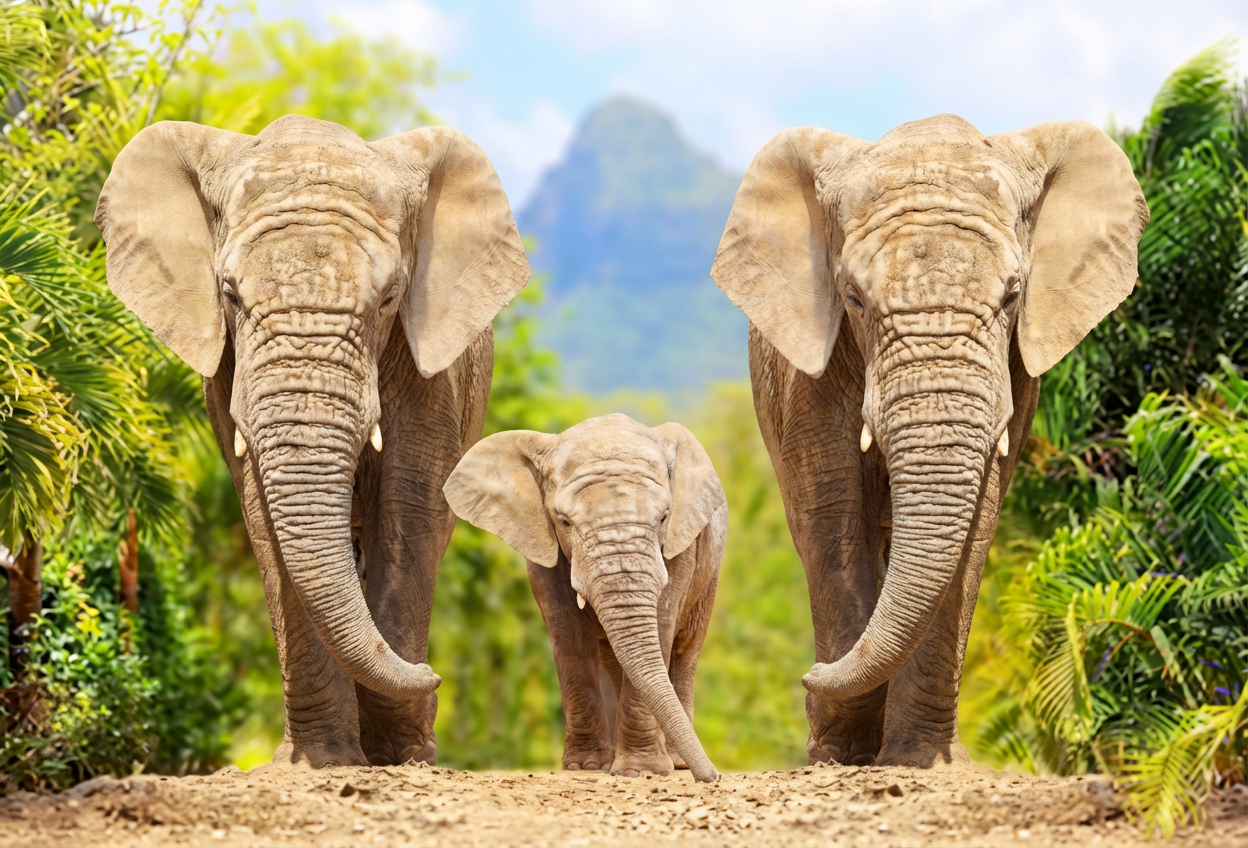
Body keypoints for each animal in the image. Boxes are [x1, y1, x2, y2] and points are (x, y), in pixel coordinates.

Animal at [94, 115, 530, 767]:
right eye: (228, 293)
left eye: (390, 298)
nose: (435, 675)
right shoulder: (228, 370)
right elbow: (264, 518)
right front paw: (320, 760)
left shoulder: (434, 373)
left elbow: (410, 509)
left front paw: (403, 755)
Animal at [442, 414, 725, 783]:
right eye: (564, 521)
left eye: (664, 517)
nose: (711, 777)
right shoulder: (542, 545)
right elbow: (570, 635)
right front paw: (587, 766)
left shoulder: (681, 548)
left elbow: (662, 625)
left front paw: (639, 771)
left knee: (685, 649)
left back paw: (675, 761)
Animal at [711, 115, 1148, 768]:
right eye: (853, 298)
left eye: (1013, 295)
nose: (808, 675)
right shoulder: (806, 375)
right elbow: (832, 515)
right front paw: (840, 753)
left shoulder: (1015, 374)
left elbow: (977, 522)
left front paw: (921, 759)